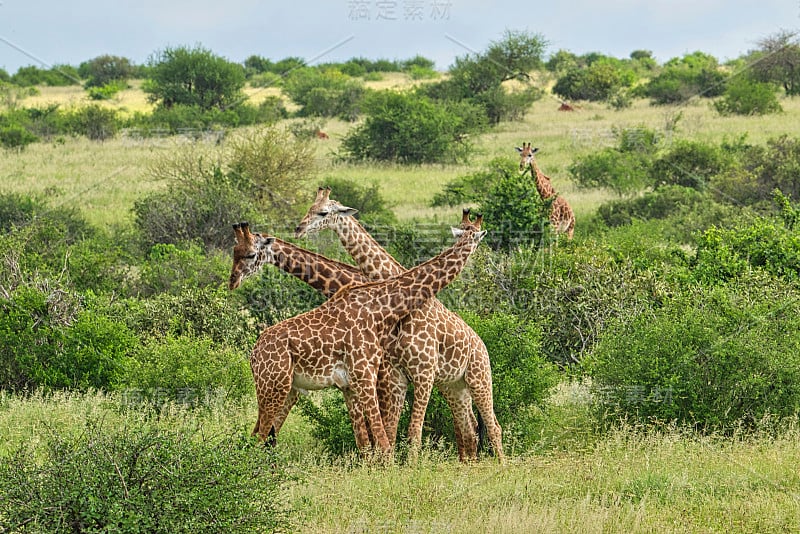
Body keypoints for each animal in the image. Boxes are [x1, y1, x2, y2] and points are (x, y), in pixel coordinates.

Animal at [247, 211, 484, 458]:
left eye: (322, 212)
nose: (299, 228)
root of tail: (253, 352)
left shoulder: (380, 377)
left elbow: (377, 436)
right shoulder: (376, 377)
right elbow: (381, 435)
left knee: (473, 424)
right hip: (280, 385)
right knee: (262, 433)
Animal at [294, 186, 506, 462]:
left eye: (323, 212)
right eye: (311, 208)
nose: (299, 228)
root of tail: (481, 345)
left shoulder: (423, 372)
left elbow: (413, 431)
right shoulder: (395, 375)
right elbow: (392, 431)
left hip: (479, 377)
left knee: (492, 425)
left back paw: (502, 465)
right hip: (454, 386)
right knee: (469, 427)